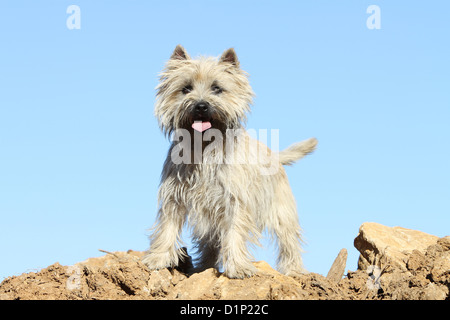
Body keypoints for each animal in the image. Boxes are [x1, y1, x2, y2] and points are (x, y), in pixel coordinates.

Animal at [142, 45, 318, 278]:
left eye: (217, 88)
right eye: (186, 88)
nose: (201, 106)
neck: (204, 148)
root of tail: (274, 155)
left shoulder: (235, 201)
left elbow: (234, 232)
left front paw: (238, 267)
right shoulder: (174, 197)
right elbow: (167, 228)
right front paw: (158, 258)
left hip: (282, 210)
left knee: (288, 241)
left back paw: (294, 270)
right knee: (209, 243)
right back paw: (203, 268)